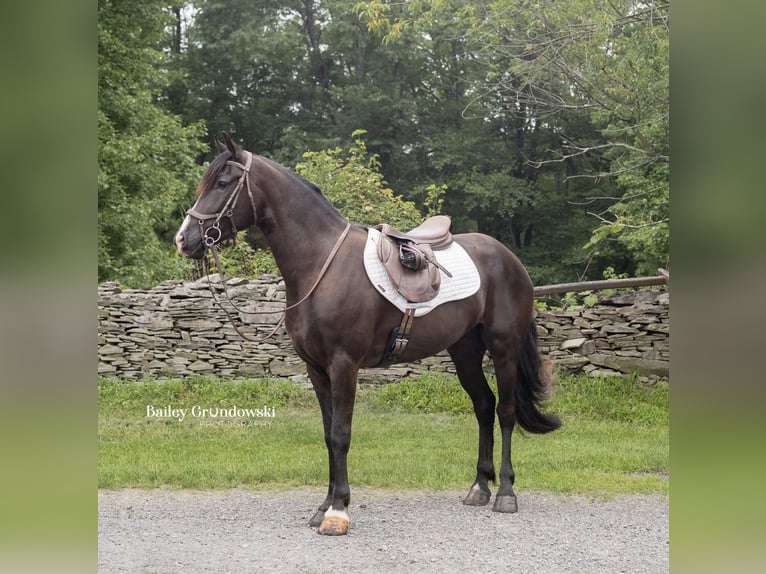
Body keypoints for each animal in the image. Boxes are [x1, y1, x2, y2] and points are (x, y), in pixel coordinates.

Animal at [177, 135, 560, 536]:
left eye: (223, 183)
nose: (183, 239)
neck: (322, 265)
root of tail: (510, 259)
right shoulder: (316, 369)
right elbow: (328, 434)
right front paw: (324, 506)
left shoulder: (344, 364)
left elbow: (341, 434)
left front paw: (338, 512)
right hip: (464, 351)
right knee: (484, 406)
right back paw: (479, 487)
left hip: (504, 349)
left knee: (505, 412)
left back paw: (505, 493)